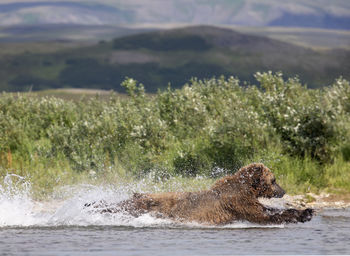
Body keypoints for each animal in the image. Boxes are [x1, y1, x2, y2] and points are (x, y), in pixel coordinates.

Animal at [85, 163, 314, 225]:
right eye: (274, 180)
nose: (283, 191)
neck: (247, 188)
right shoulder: (237, 202)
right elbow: (262, 215)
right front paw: (303, 214)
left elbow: (266, 209)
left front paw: (307, 211)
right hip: (148, 204)